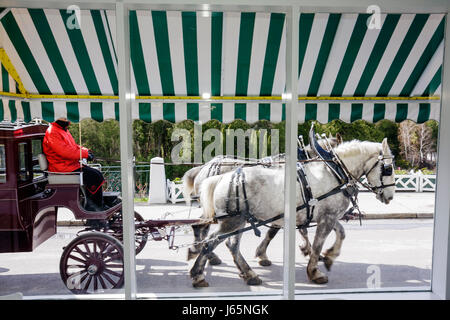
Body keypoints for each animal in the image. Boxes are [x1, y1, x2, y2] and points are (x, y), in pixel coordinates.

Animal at [190, 138, 394, 288]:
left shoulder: (325, 215)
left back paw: (247, 273)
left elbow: (340, 233)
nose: (390, 196)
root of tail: (221, 177)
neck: (334, 172)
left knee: (228, 243)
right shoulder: (326, 218)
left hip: (238, 221)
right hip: (232, 221)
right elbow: (317, 244)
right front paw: (314, 270)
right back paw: (199, 273)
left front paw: (329, 256)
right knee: (211, 240)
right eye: (388, 168)